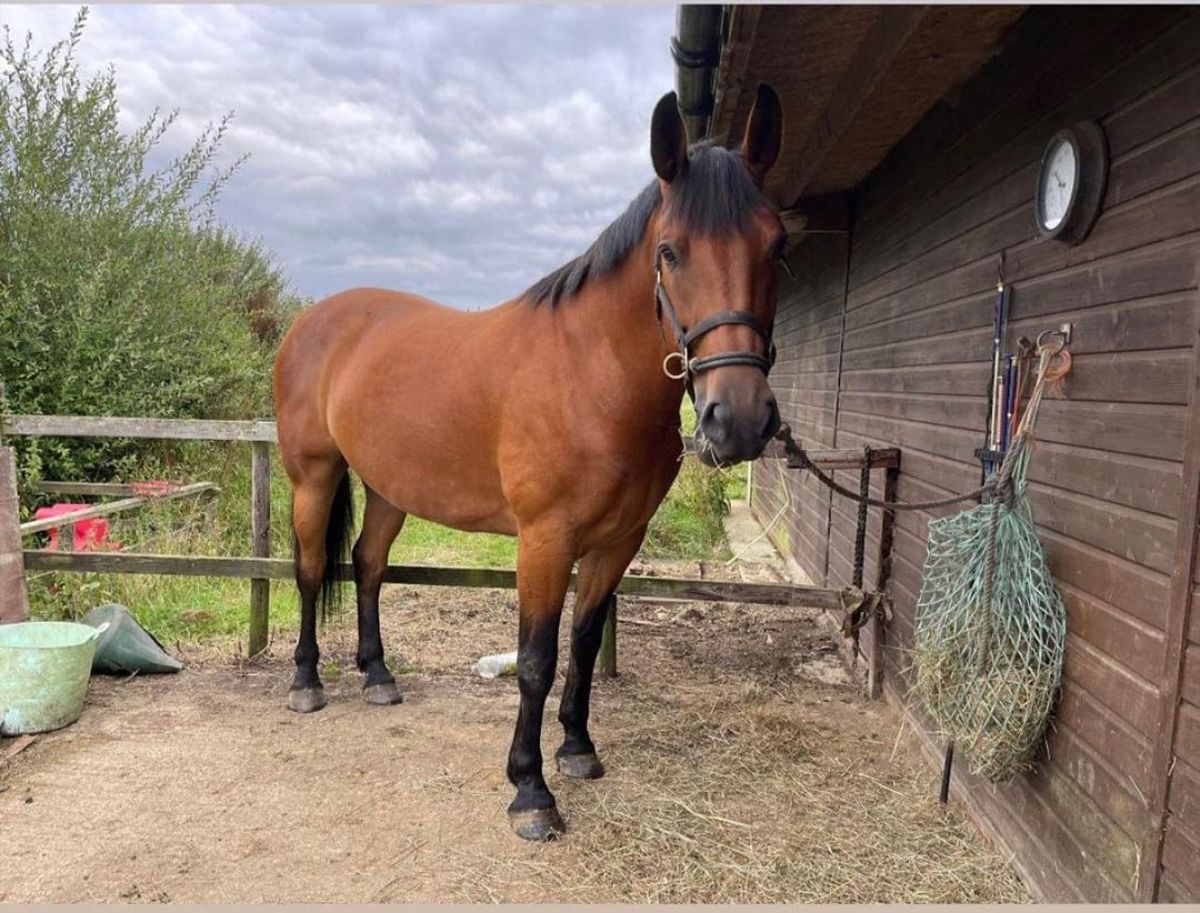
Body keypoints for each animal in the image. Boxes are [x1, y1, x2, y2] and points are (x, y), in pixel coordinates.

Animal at [276, 86, 792, 839]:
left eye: (776, 247)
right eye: (671, 251)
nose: (743, 419)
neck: (590, 378)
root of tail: (313, 323)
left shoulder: (616, 542)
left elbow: (583, 642)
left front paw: (577, 747)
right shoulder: (544, 541)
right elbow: (536, 661)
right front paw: (530, 788)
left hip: (390, 488)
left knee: (368, 566)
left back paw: (377, 676)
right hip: (311, 476)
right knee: (313, 569)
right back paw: (307, 680)